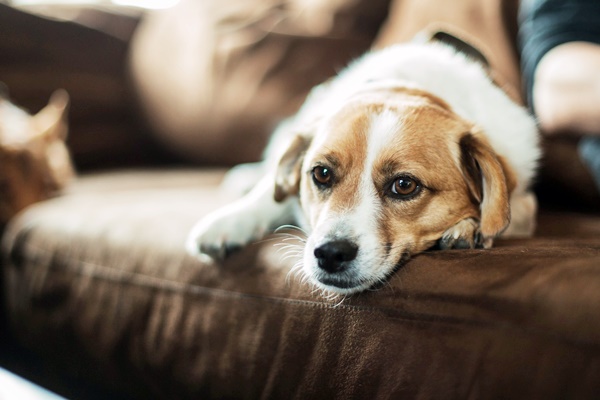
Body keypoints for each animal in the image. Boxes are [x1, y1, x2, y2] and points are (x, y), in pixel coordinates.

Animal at [186, 40, 540, 296]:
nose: (330, 253)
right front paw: (229, 222)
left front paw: (469, 227)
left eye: (404, 185)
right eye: (321, 173)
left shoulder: (524, 200)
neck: (406, 86)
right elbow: (268, 195)